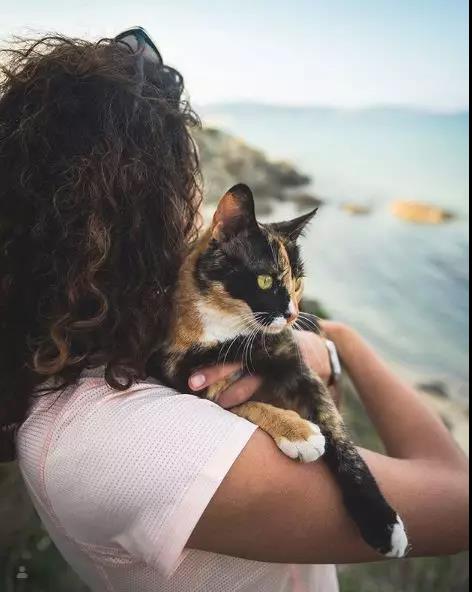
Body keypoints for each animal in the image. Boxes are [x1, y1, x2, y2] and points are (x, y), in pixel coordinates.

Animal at [157, 183, 409, 558]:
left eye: (298, 281)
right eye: (265, 280)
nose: (293, 314)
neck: (231, 334)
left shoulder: (300, 370)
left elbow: (341, 439)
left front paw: (382, 522)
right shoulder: (185, 376)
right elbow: (239, 405)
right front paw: (299, 432)